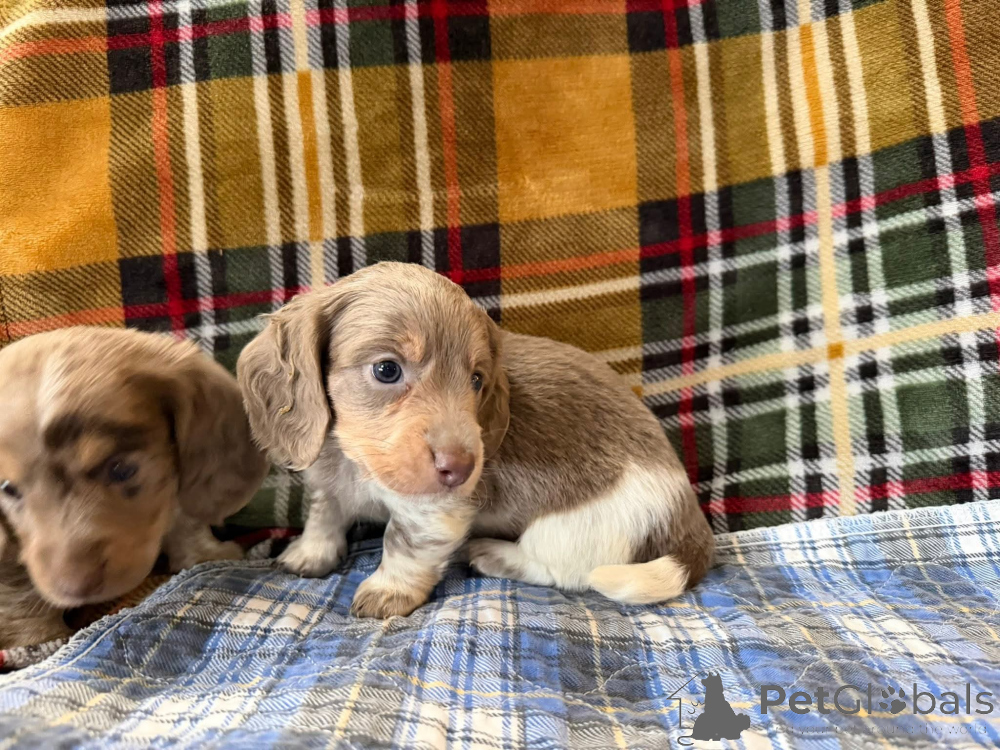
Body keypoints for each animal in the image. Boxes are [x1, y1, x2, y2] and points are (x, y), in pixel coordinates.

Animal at [0, 328, 269, 649]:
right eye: (7, 487)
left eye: (121, 469)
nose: (74, 587)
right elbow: (16, 589)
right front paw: (39, 639)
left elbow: (184, 518)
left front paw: (204, 554)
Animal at [238, 262, 714, 619]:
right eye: (387, 370)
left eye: (477, 380)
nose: (463, 469)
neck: (356, 462)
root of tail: (688, 516)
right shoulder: (328, 481)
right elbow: (324, 514)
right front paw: (310, 552)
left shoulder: (432, 512)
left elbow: (401, 543)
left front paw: (388, 590)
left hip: (574, 528)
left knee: (564, 571)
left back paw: (492, 553)